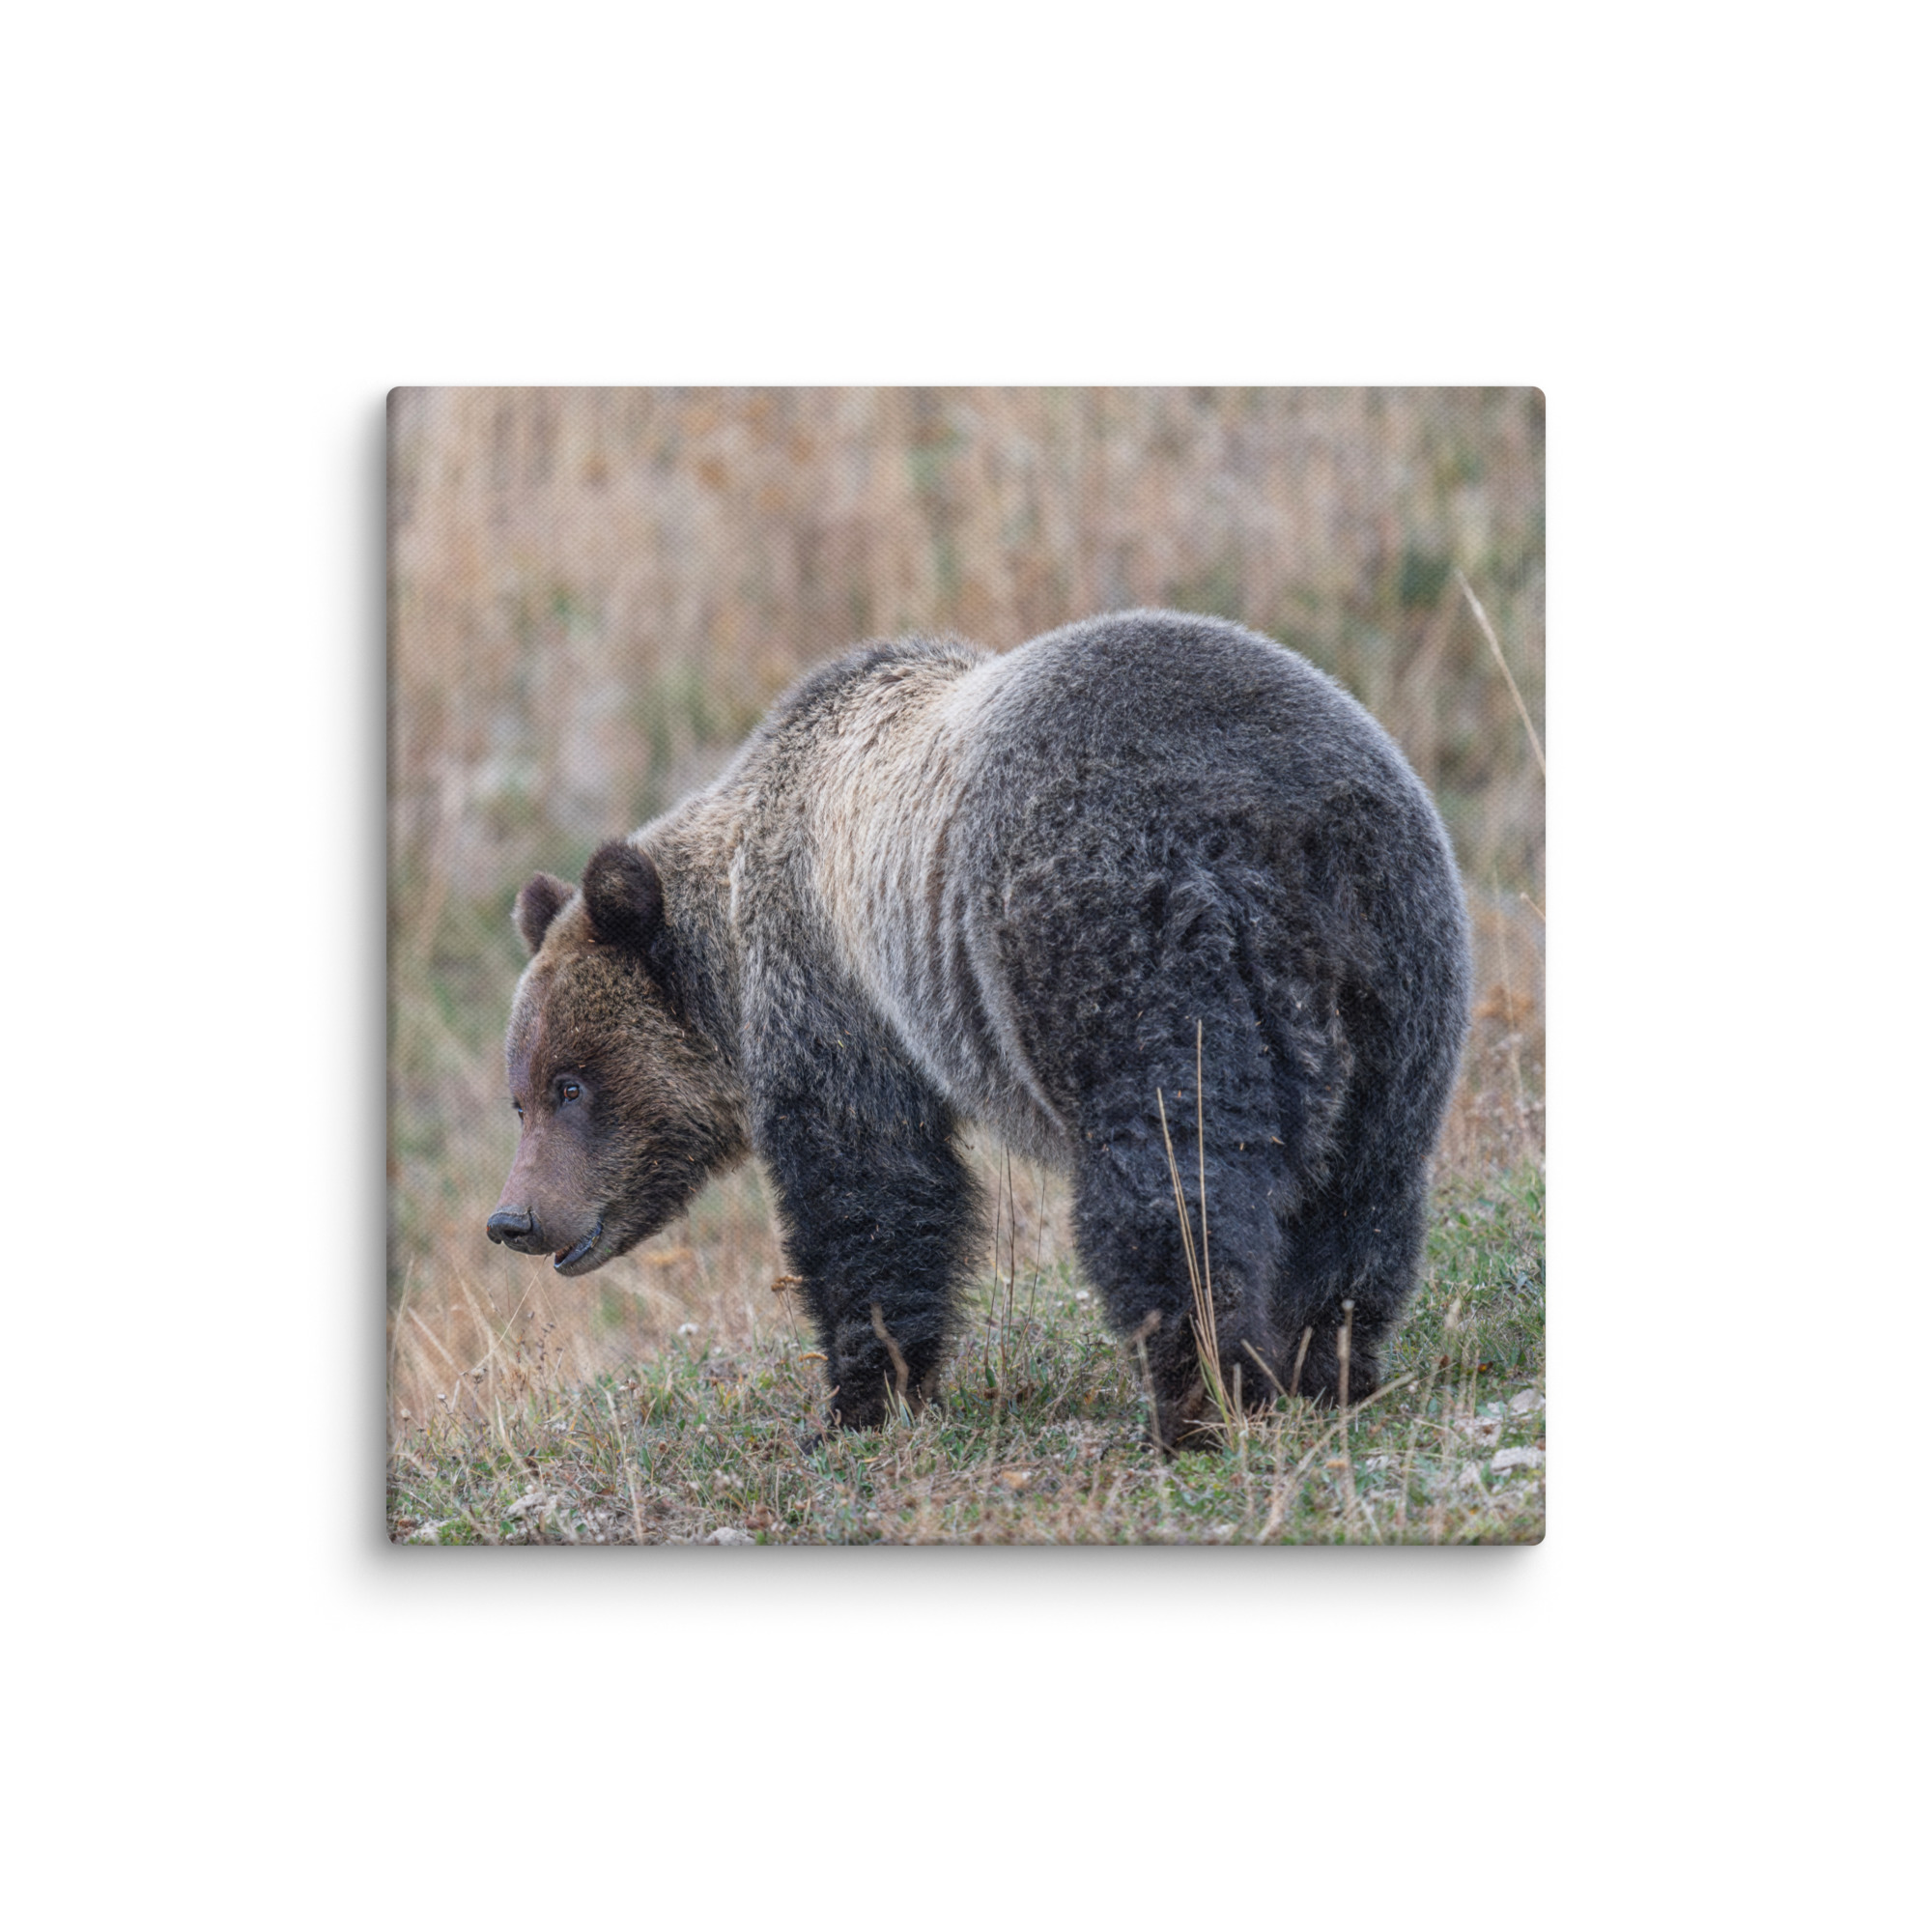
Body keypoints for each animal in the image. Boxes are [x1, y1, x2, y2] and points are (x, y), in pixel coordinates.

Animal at [487, 609, 1471, 1447]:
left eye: (571, 1084)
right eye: (520, 1095)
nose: (514, 1218)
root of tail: (1281, 823)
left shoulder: (835, 990)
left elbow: (871, 1190)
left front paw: (858, 1400)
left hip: (1121, 938)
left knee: (1172, 1180)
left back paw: (1199, 1400)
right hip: (1398, 967)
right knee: (1364, 1185)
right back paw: (1326, 1367)